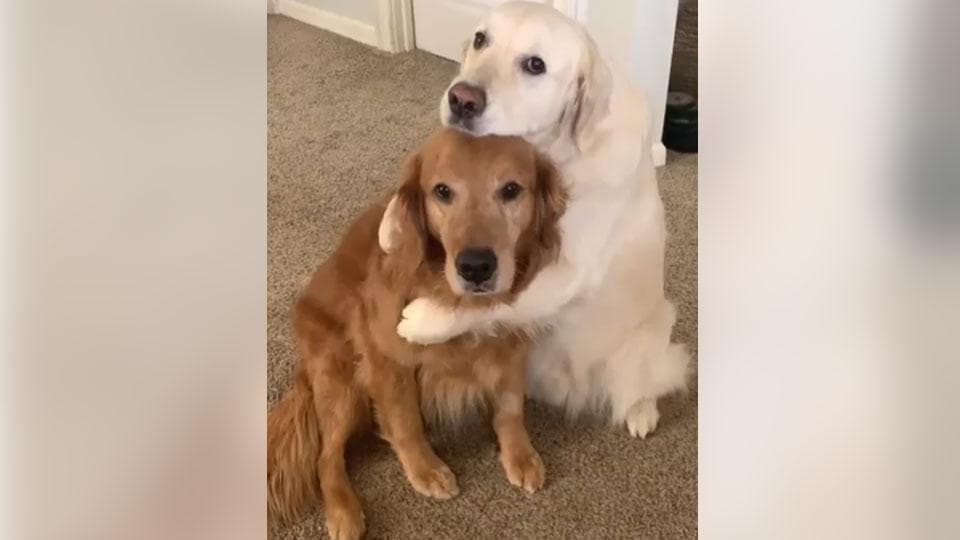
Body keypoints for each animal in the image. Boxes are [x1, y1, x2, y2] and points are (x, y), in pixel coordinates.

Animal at [266, 129, 568, 536]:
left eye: (510, 189)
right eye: (441, 191)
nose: (476, 266)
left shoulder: (513, 342)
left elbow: (509, 407)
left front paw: (519, 454)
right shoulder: (383, 355)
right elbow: (404, 420)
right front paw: (425, 469)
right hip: (342, 381)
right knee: (325, 457)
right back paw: (344, 512)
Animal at [378, 1, 688, 438]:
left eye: (535, 65)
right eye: (480, 39)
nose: (461, 99)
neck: (557, 149)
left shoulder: (569, 271)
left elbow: (495, 298)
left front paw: (424, 319)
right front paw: (390, 224)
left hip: (647, 338)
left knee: (647, 383)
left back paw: (641, 412)